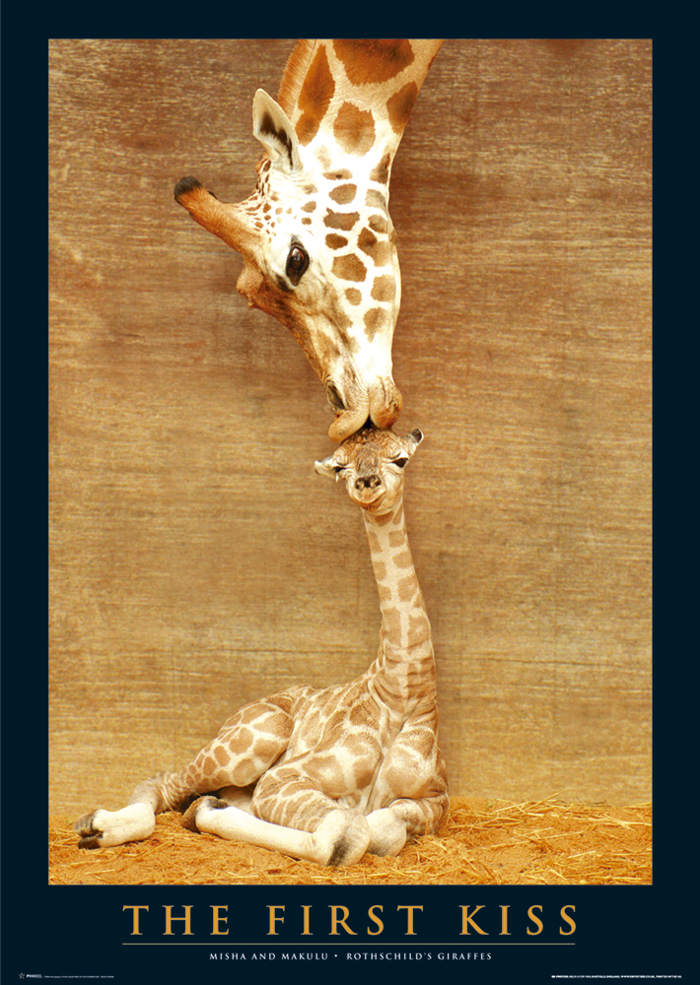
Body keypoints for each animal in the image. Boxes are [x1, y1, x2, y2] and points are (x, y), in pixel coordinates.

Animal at [74, 425, 448, 866]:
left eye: (400, 459)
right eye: (341, 467)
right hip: (258, 736)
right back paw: (96, 826)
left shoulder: (437, 799)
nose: (366, 483)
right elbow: (348, 833)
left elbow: (383, 830)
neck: (403, 689)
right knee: (164, 782)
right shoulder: (283, 777)